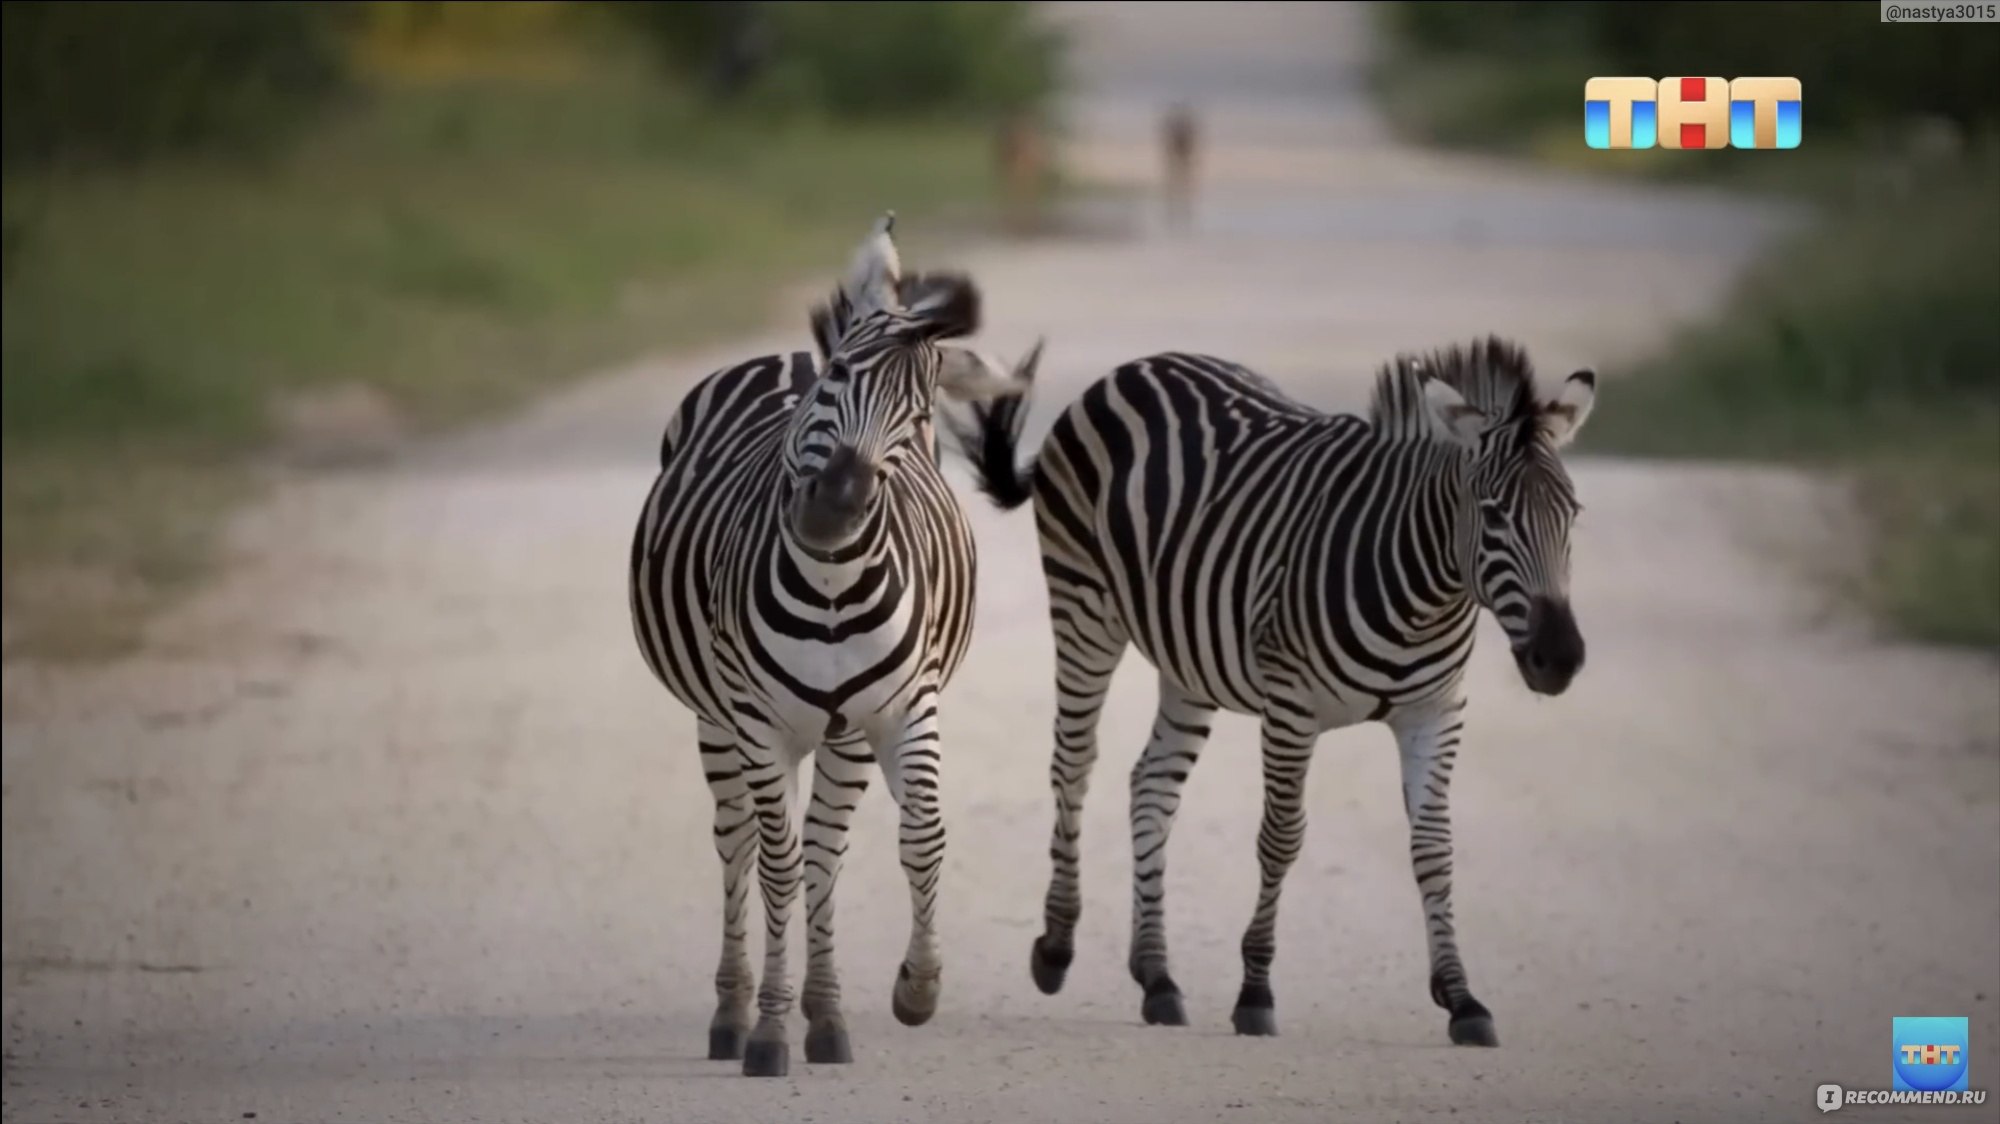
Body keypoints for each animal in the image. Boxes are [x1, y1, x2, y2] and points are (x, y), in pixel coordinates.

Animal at [628, 212, 1048, 1080]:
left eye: (918, 417)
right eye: (841, 380)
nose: (835, 510)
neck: (830, 586)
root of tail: (790, 353)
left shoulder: (890, 714)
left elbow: (914, 840)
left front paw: (913, 990)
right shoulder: (758, 725)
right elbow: (778, 866)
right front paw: (768, 1030)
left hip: (833, 735)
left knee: (820, 849)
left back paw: (823, 1014)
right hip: (718, 721)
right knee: (738, 844)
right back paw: (732, 1012)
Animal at [948, 330, 1592, 1040]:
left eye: (1573, 514)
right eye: (1493, 514)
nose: (1560, 659)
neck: (1424, 592)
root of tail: (1132, 368)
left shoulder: (1435, 712)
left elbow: (1435, 849)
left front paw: (1461, 996)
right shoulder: (1291, 707)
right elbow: (1281, 840)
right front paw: (1255, 993)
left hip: (1190, 660)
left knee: (1151, 785)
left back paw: (1157, 975)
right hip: (1084, 609)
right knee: (1074, 765)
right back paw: (1058, 945)